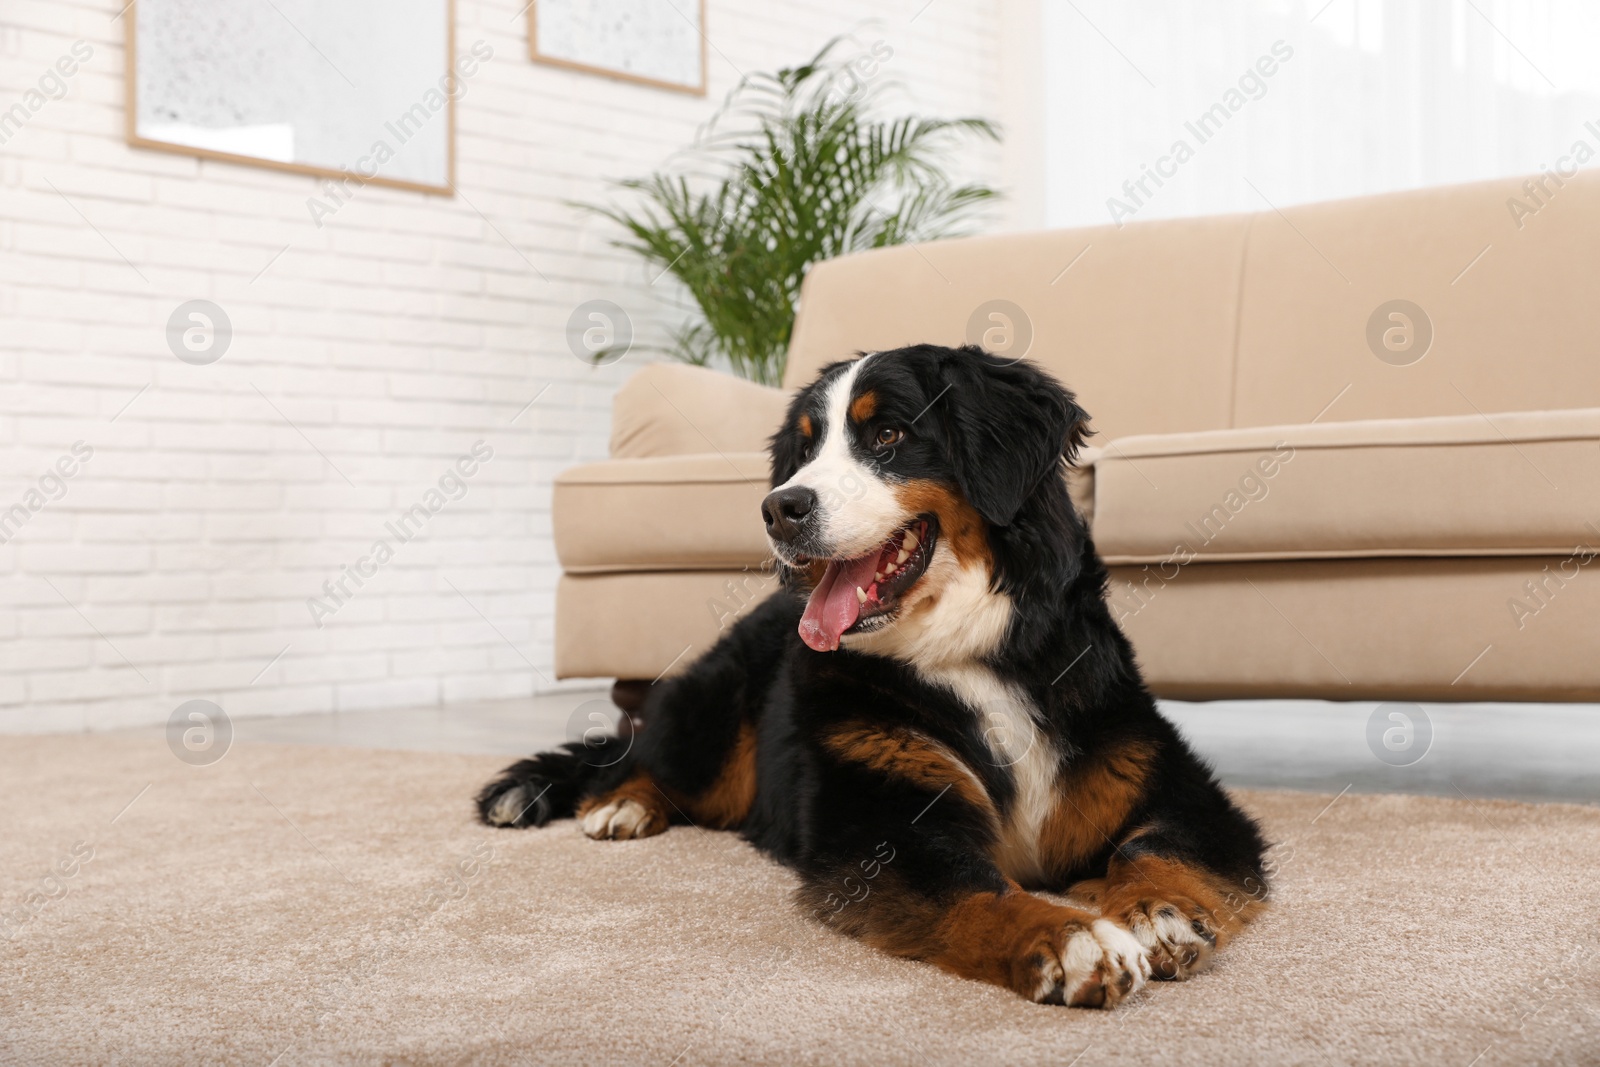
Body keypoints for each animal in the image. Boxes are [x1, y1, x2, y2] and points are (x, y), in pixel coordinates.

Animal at [473, 343, 1260, 1011]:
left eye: (887, 435)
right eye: (804, 447)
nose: (778, 507)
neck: (967, 654)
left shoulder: (1170, 782)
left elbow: (1153, 846)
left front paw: (1160, 912)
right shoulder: (887, 826)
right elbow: (979, 889)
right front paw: (1071, 938)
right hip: (714, 722)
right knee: (644, 758)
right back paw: (625, 805)